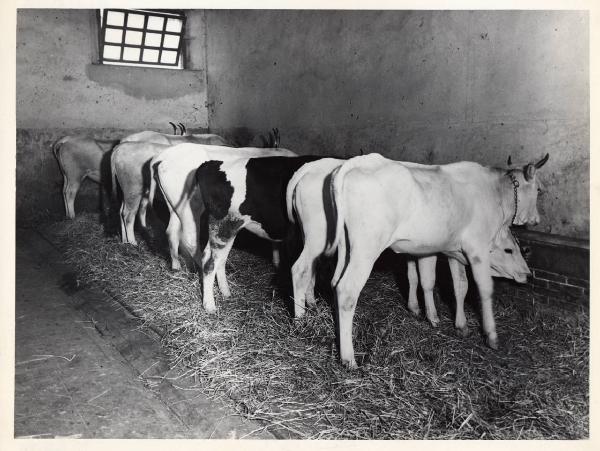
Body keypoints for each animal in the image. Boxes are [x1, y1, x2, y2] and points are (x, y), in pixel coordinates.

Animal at [328, 154, 548, 370]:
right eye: (539, 189)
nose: (536, 220)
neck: (495, 193)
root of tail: (359, 162)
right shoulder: (478, 249)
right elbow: (485, 289)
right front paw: (491, 335)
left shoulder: (454, 251)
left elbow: (460, 286)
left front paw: (461, 325)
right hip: (366, 248)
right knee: (347, 291)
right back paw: (349, 358)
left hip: (346, 248)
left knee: (336, 284)